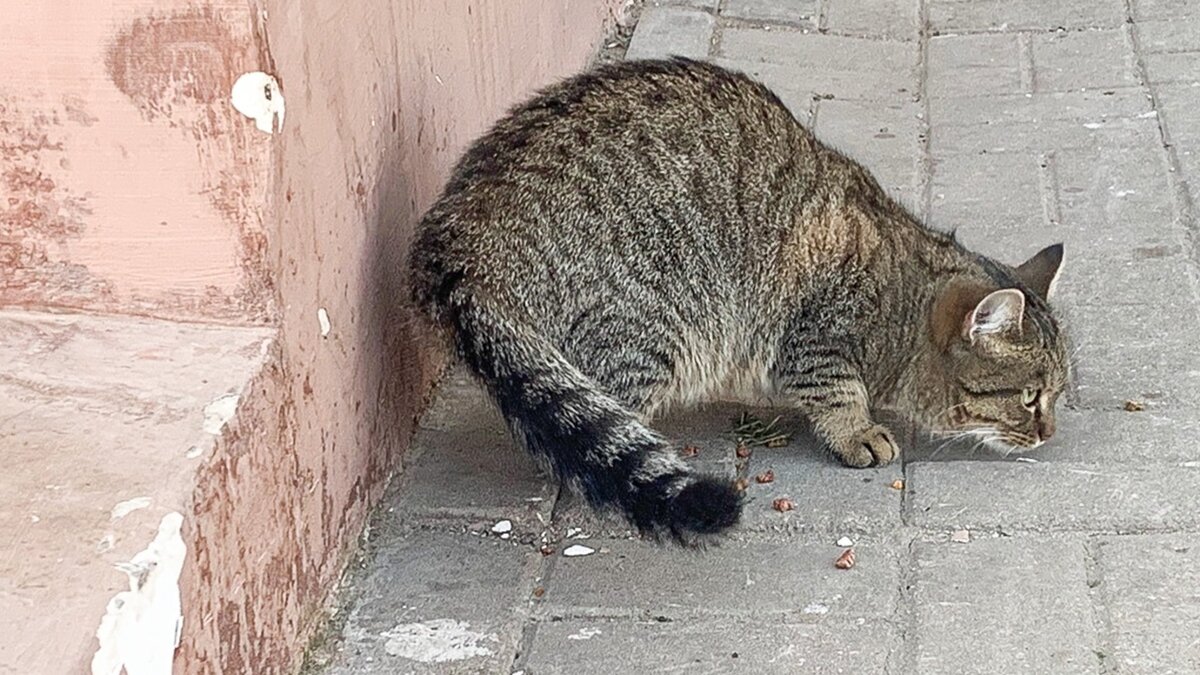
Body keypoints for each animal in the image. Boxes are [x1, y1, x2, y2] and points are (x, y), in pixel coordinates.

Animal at [410, 56, 1070, 540]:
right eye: (1030, 397)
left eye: (1057, 396)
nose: (1049, 433)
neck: (901, 297)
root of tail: (457, 231)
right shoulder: (819, 333)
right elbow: (837, 391)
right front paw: (857, 430)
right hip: (653, 323)